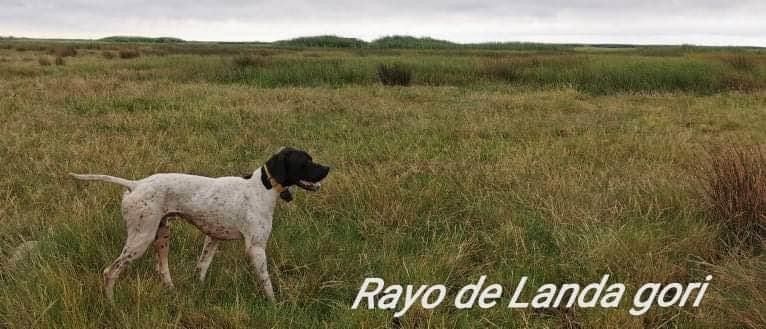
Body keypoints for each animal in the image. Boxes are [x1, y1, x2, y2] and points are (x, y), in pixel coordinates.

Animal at [68, 147, 328, 302]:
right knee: (110, 271)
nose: (328, 168)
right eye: (305, 162)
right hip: (140, 239)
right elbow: (267, 283)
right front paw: (275, 305)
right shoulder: (256, 248)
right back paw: (111, 303)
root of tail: (135, 184)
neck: (261, 187)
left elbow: (201, 269)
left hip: (162, 235)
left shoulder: (212, 238)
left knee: (162, 269)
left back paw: (173, 293)